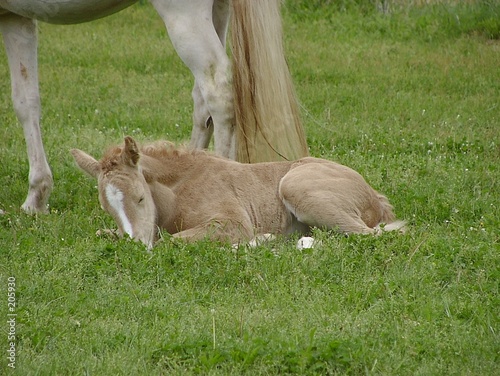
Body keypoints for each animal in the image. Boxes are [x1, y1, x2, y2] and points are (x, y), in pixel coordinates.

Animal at [71, 137, 406, 251]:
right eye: (108, 209)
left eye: (140, 198)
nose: (137, 247)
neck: (179, 190)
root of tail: (374, 196)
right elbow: (103, 234)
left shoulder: (232, 222)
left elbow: (171, 241)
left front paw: (256, 241)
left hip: (297, 187)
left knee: (369, 234)